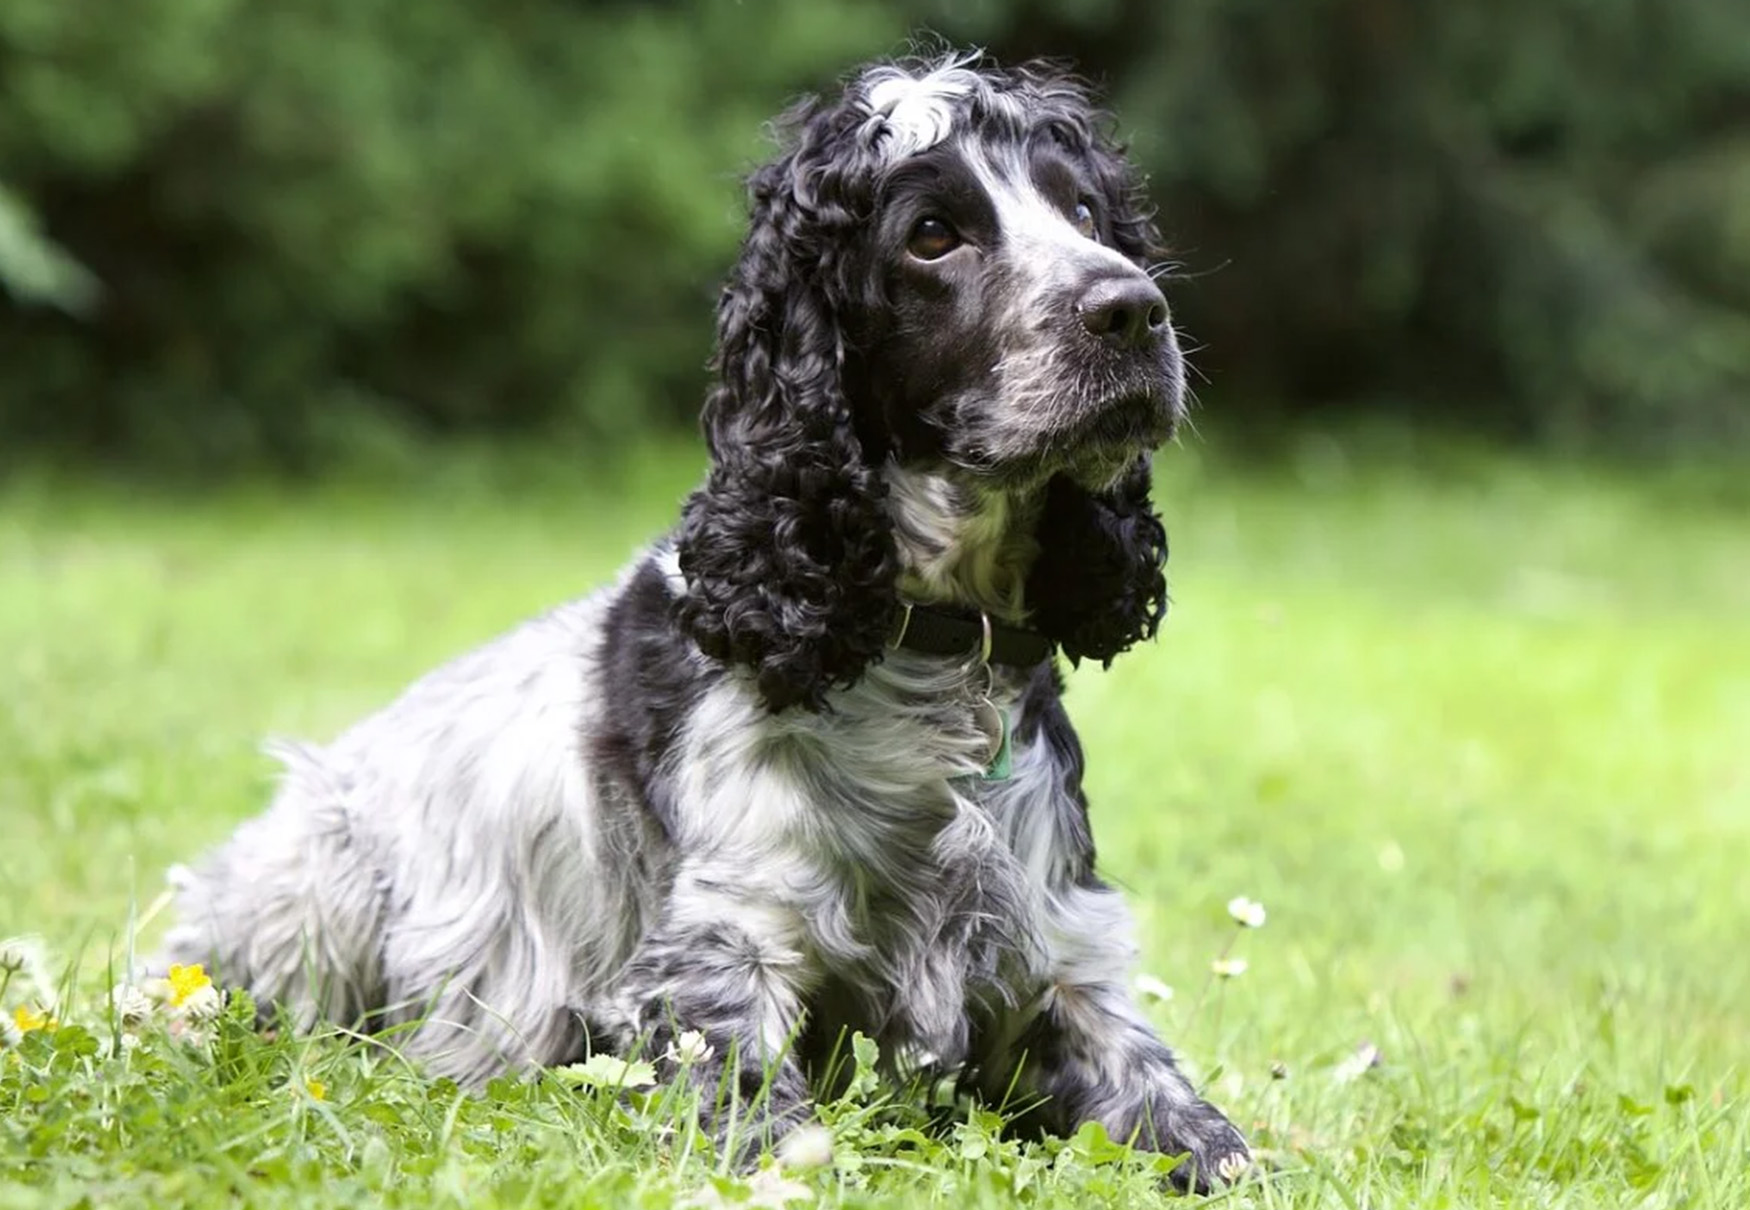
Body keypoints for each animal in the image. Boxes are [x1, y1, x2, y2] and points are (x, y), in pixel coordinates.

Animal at [164, 52, 1253, 1190]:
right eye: (931, 235)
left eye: (1084, 211)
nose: (1132, 311)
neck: (927, 654)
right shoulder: (720, 953)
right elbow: (765, 1123)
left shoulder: (1060, 959)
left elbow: (1200, 1131)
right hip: (315, 880)